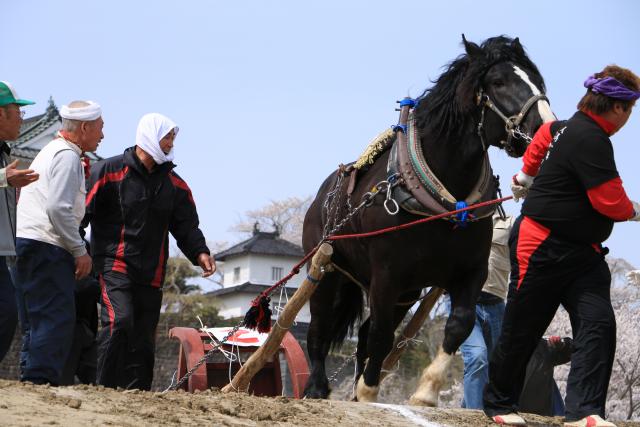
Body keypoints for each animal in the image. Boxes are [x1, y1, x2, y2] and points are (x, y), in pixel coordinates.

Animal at [302, 36, 552, 404]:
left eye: (538, 80)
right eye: (498, 82)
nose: (545, 127)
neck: (443, 201)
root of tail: (322, 196)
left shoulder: (470, 270)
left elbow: (459, 324)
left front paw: (425, 392)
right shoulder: (386, 273)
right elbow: (380, 336)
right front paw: (368, 389)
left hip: (407, 290)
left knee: (365, 333)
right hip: (328, 267)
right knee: (320, 327)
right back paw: (318, 388)